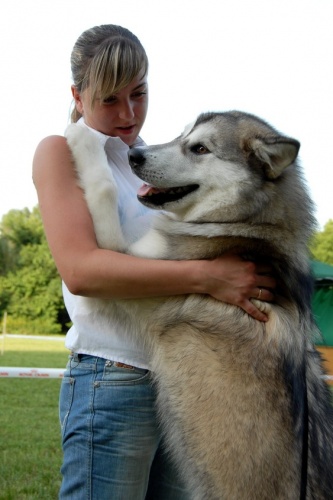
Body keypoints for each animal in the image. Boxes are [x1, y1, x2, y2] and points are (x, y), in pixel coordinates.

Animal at [65, 111, 332, 498]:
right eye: (182, 136)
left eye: (200, 148)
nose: (134, 155)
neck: (242, 227)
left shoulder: (120, 267)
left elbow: (103, 187)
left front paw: (80, 136)